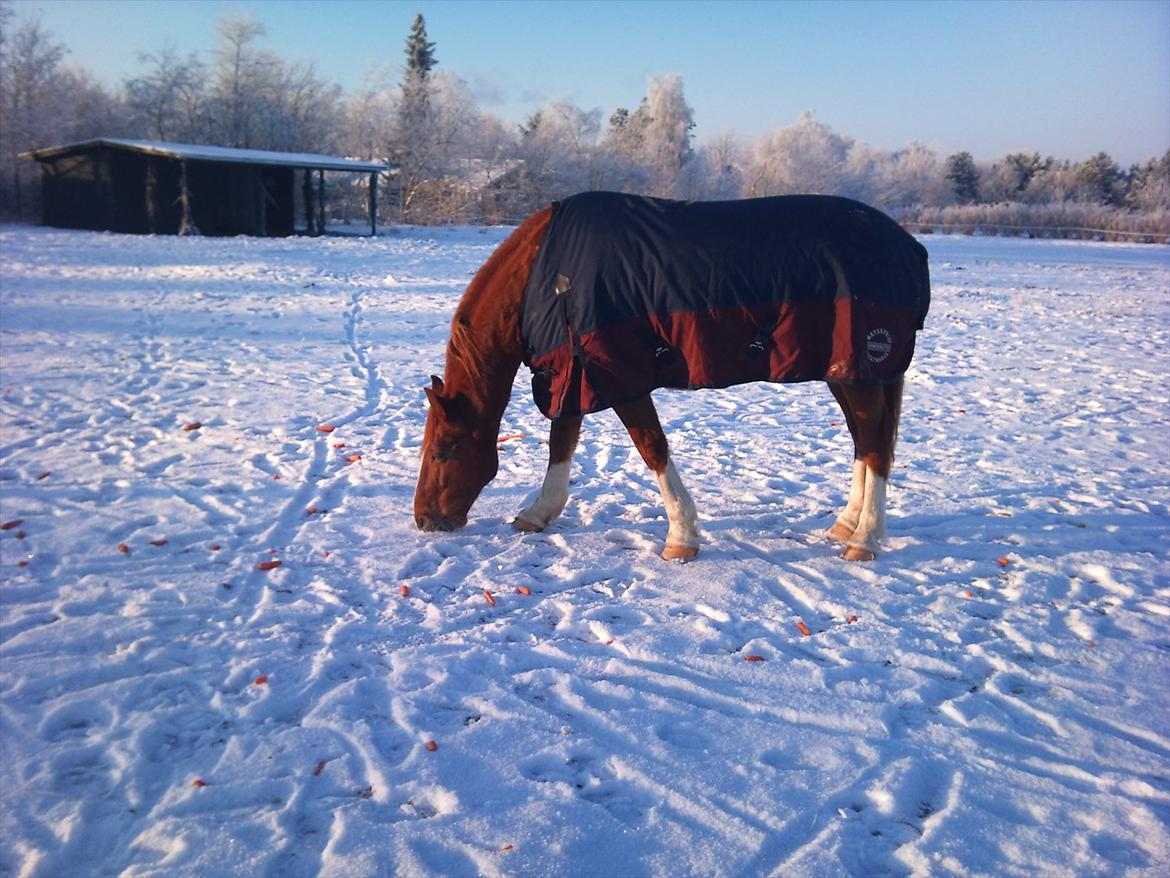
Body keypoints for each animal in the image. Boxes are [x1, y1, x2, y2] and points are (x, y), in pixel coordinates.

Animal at [416, 191, 926, 564]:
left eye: (441, 452)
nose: (424, 519)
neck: (550, 274)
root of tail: (907, 245)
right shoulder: (575, 370)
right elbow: (562, 443)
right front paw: (539, 512)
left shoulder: (618, 375)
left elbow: (651, 448)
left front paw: (681, 535)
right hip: (850, 373)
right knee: (865, 440)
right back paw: (846, 523)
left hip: (860, 371)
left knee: (874, 445)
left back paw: (864, 539)